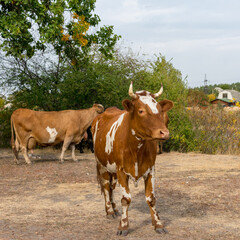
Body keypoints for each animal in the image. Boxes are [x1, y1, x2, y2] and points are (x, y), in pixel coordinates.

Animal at [91, 81, 172, 235]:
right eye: (141, 111)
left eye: (160, 110)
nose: (164, 132)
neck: (137, 149)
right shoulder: (121, 170)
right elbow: (125, 199)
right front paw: (123, 226)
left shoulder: (151, 169)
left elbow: (151, 198)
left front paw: (158, 224)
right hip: (102, 164)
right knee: (106, 186)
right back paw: (109, 211)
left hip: (112, 169)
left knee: (111, 187)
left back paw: (114, 209)